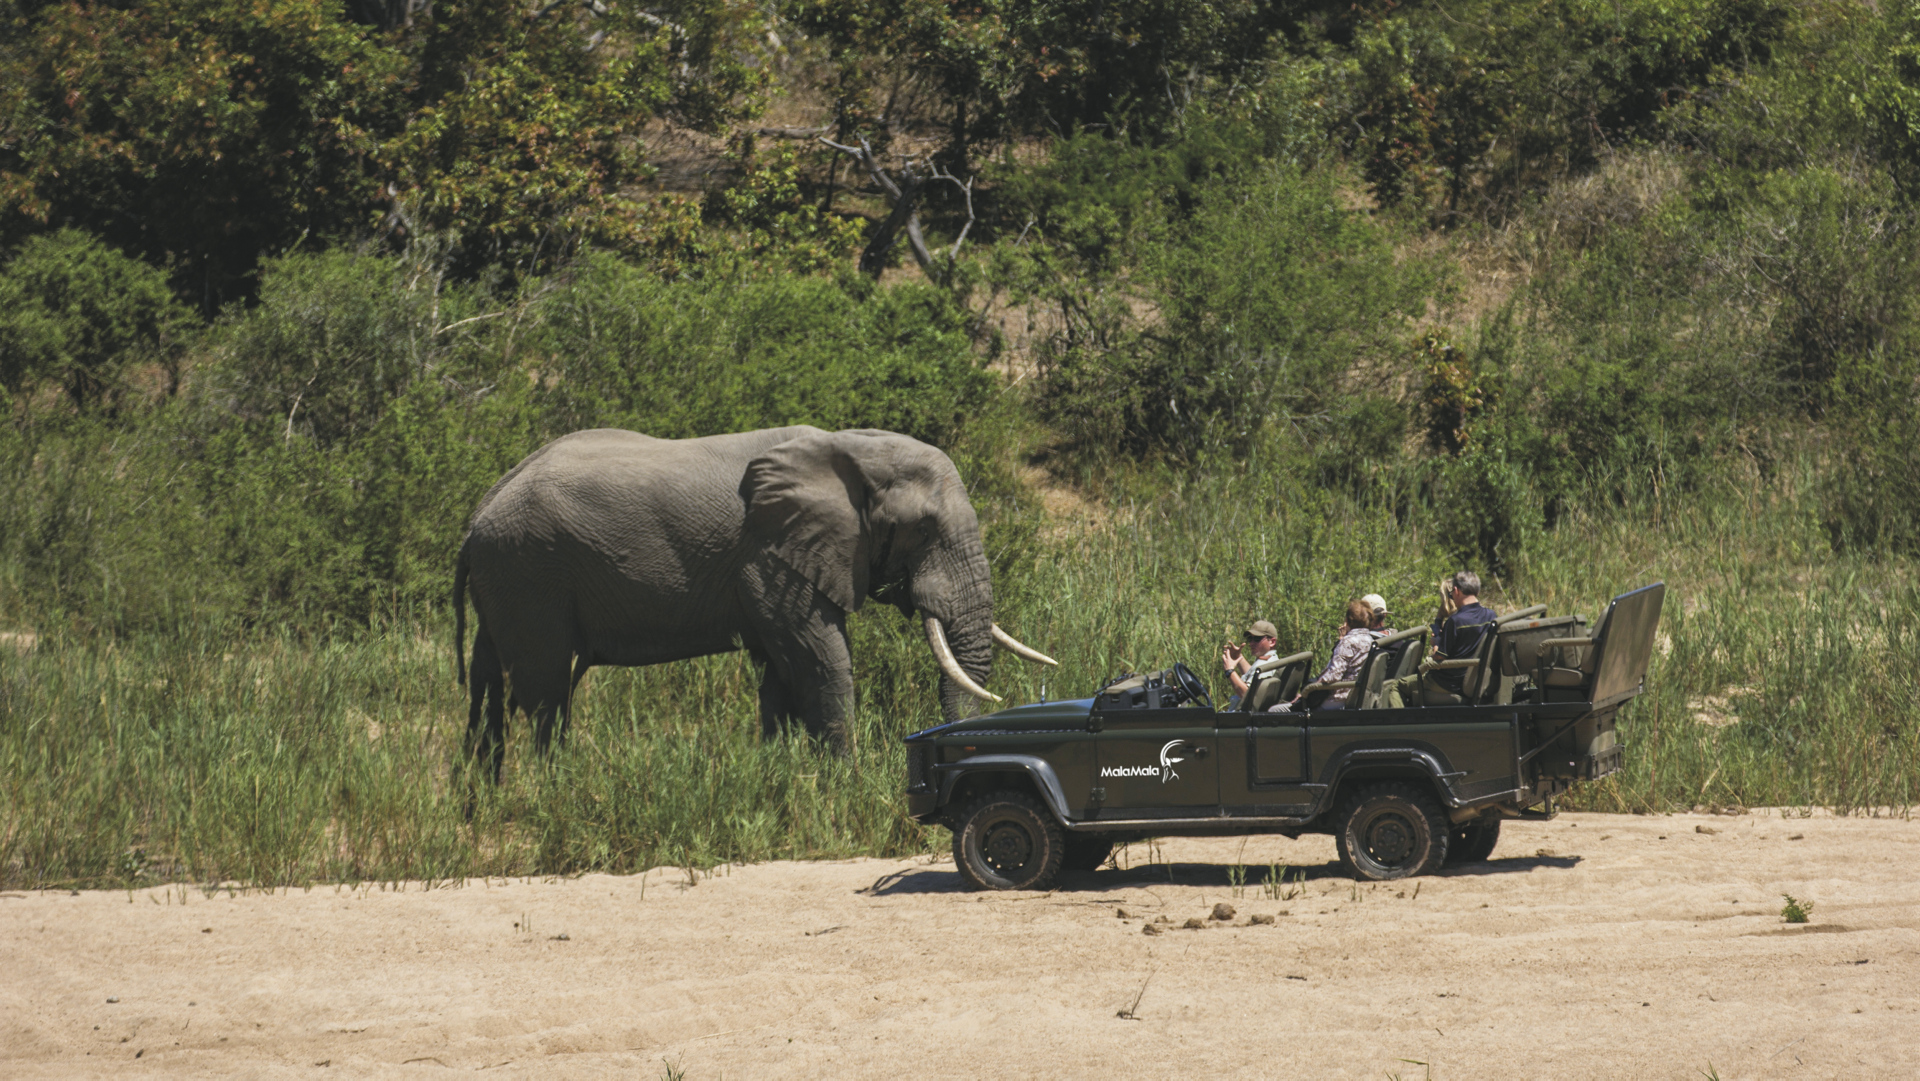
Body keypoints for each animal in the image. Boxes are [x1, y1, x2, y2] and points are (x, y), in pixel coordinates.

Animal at [451, 425, 1055, 781]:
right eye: (923, 530)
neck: (850, 447)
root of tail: (477, 516)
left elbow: (779, 672)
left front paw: (781, 779)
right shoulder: (771, 555)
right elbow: (819, 658)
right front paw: (845, 786)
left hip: (505, 582)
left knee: (488, 691)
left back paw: (483, 803)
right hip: (529, 573)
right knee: (547, 691)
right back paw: (558, 792)